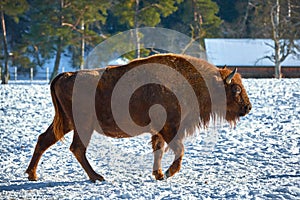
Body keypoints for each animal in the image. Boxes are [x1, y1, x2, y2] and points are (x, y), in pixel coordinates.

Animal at [25, 53, 251, 181]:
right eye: (236, 89)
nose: (248, 107)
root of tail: (66, 75)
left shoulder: (160, 131)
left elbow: (159, 149)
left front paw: (158, 174)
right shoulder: (170, 128)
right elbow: (179, 150)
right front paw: (168, 173)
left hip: (67, 123)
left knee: (45, 140)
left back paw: (32, 175)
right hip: (82, 125)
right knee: (77, 148)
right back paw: (97, 177)